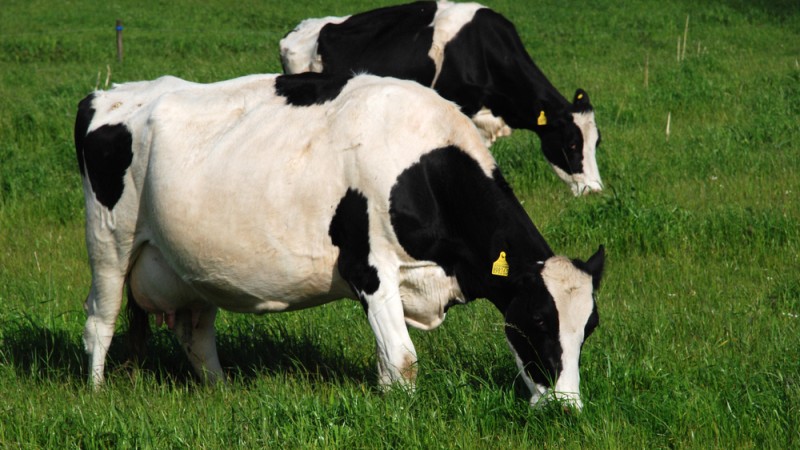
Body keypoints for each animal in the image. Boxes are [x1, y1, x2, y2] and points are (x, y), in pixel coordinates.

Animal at [74, 72, 605, 409]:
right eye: (538, 320)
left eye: (590, 327)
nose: (566, 408)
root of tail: (106, 95)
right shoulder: (369, 269)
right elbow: (403, 361)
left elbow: (388, 363)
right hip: (109, 244)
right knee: (100, 322)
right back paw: (96, 397)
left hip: (192, 267)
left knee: (197, 336)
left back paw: (222, 393)